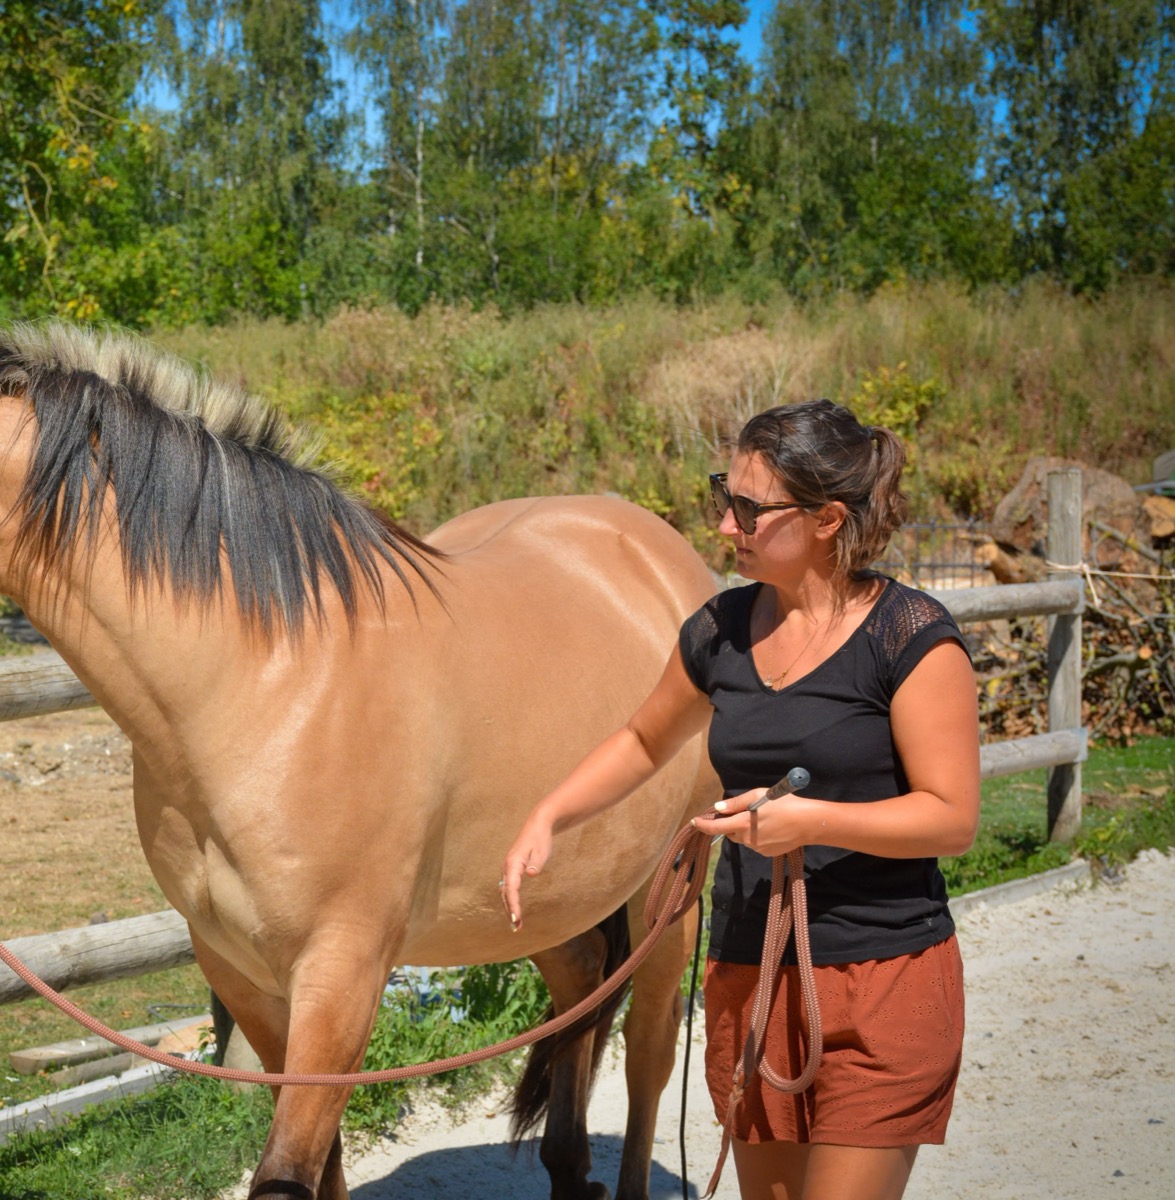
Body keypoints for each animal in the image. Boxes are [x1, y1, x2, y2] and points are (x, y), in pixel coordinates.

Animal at [0, 322, 719, 1200]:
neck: (268, 683)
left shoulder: (340, 976)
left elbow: (286, 1171)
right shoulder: (241, 974)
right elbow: (325, 1163)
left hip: (671, 884)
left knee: (650, 1049)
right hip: (551, 891)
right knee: (582, 991)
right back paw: (566, 1166)